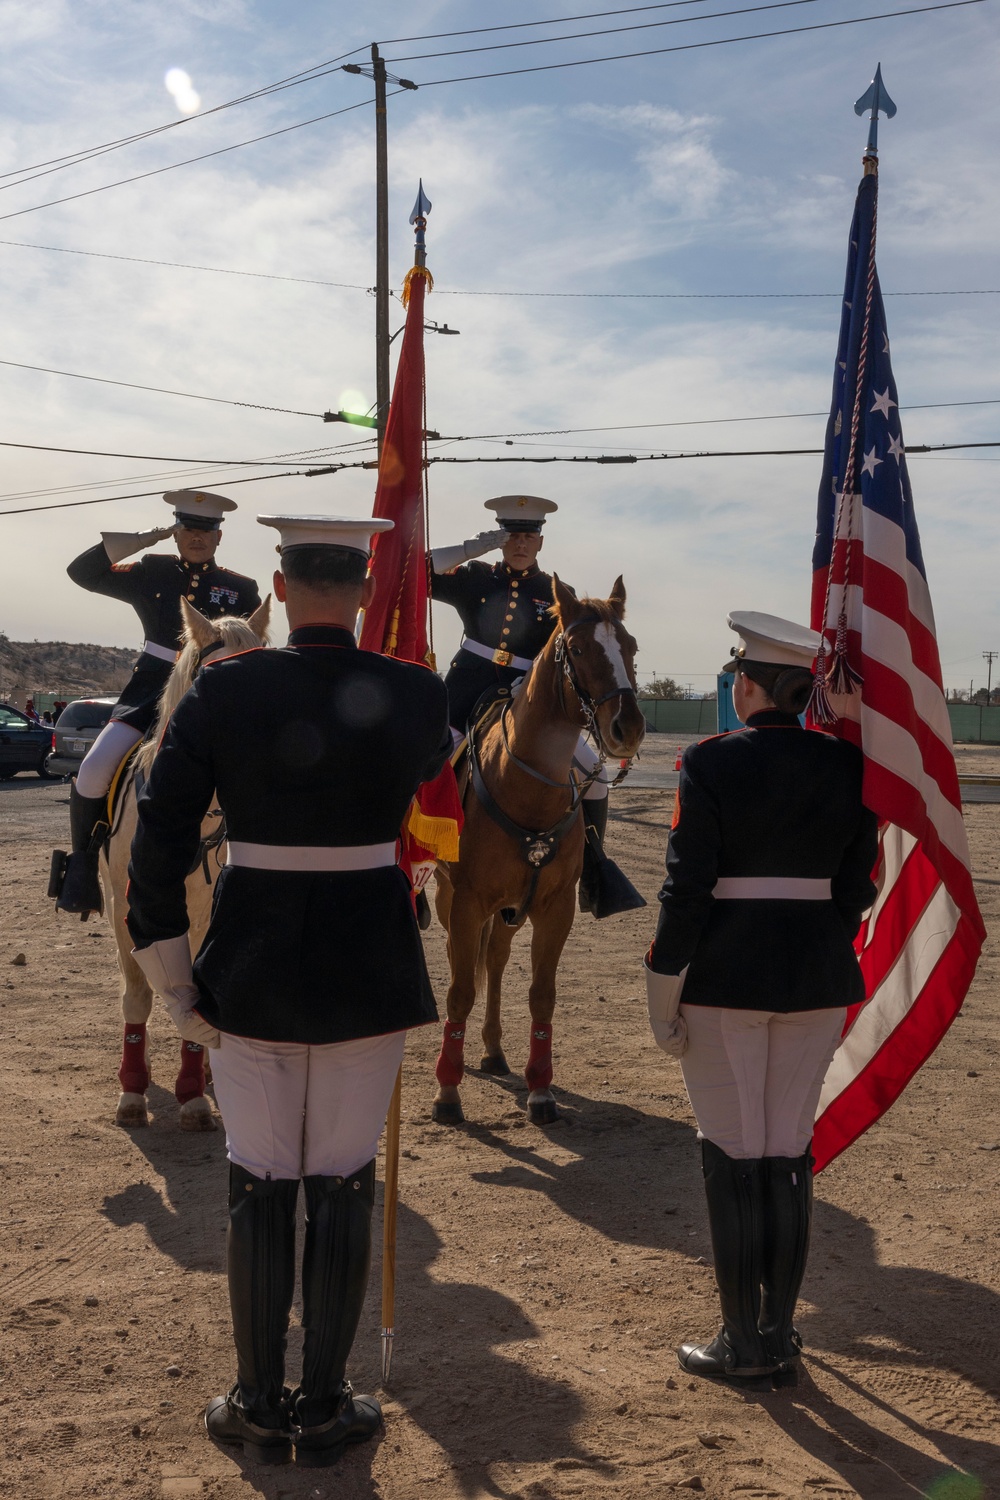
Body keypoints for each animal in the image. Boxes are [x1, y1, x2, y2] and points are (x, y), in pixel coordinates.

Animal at [431, 573, 650, 1128]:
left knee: (496, 959)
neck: (525, 787)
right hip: (447, 900)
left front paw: (541, 1090)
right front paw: (448, 1091)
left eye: (631, 646)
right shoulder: (467, 903)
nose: (628, 728)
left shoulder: (555, 908)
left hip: (513, 909)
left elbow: (541, 996)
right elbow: (459, 991)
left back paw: (492, 1050)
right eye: (578, 648)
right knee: (466, 965)